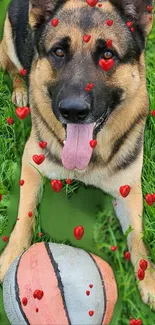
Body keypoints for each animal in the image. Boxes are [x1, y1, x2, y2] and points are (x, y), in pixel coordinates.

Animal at [0, 0, 155, 308]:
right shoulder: (30, 165)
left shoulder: (128, 190)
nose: (73, 110)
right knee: (15, 72)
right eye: (58, 52)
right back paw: (21, 92)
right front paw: (11, 256)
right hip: (8, 45)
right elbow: (25, 213)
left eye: (108, 55)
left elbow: (138, 237)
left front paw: (149, 280)